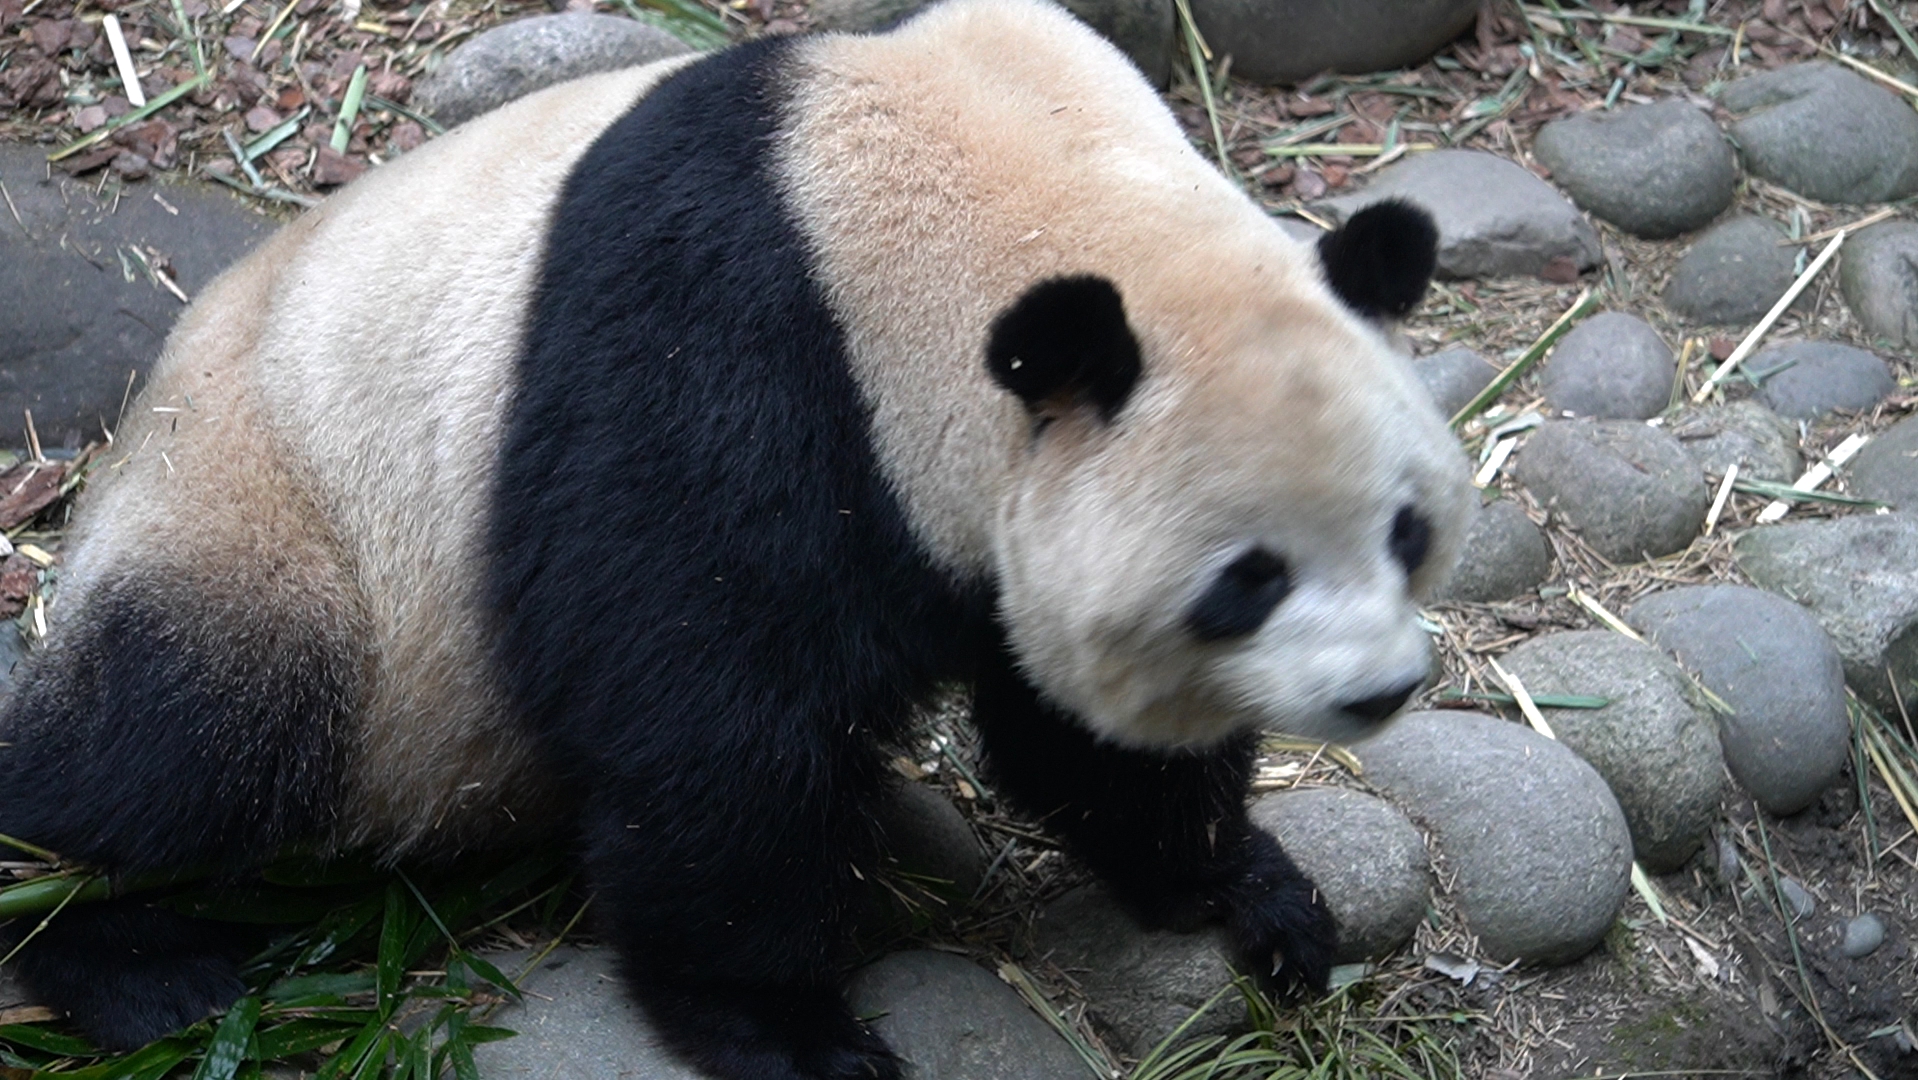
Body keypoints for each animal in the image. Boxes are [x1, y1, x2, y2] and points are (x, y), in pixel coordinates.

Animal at [0, 0, 1465, 1074]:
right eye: (1246, 582)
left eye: (1404, 533)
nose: (1381, 692)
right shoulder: (729, 349)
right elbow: (709, 713)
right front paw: (790, 1031)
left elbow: (1061, 721)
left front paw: (1244, 889)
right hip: (267, 525)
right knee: (180, 744)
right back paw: (134, 967)